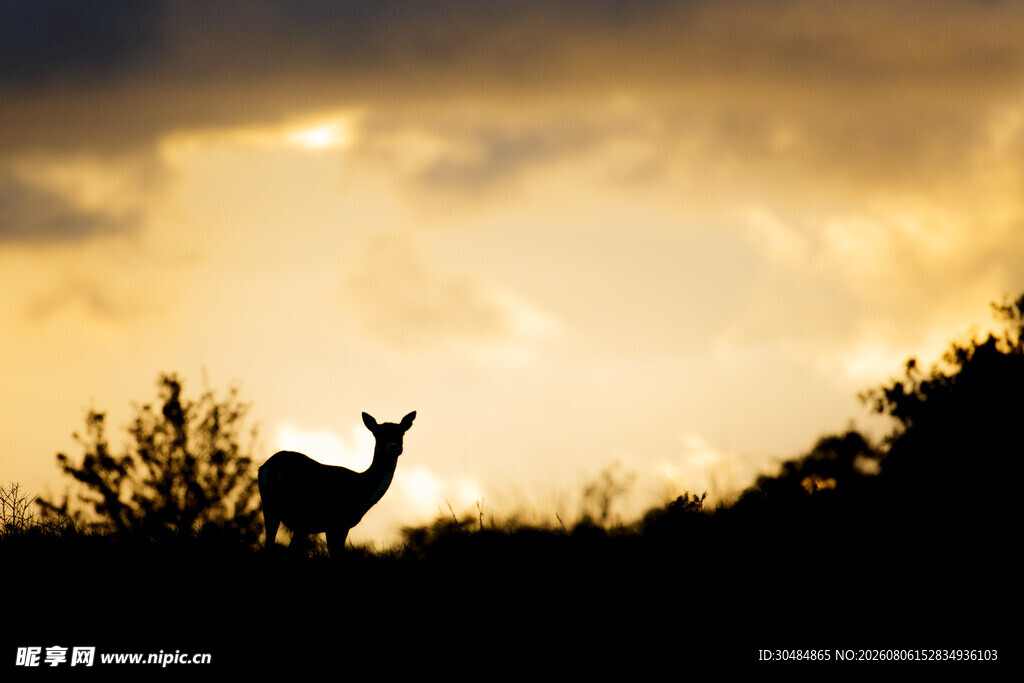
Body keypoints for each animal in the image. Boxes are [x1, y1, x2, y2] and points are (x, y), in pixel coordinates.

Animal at [258, 411, 416, 555]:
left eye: (402, 433)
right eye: (378, 434)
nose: (394, 447)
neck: (363, 489)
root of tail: (268, 467)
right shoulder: (337, 522)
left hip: (272, 508)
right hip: (299, 510)